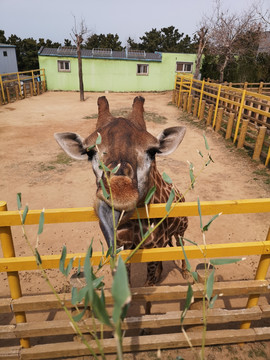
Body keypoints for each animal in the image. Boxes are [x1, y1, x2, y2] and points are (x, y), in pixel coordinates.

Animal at [53, 96, 187, 286]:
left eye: (152, 151)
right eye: (90, 153)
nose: (120, 193)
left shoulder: (153, 245)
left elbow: (148, 283)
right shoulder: (123, 247)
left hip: (182, 229)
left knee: (183, 246)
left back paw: (187, 275)